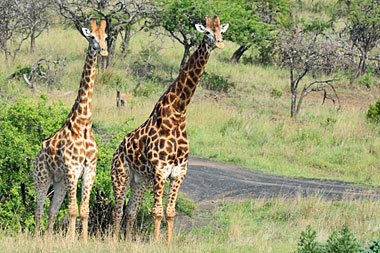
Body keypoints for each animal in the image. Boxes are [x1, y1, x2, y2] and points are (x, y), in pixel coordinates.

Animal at [32, 18, 107, 241]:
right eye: (92, 36)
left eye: (106, 36)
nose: (103, 50)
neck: (83, 124)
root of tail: (38, 154)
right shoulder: (73, 169)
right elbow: (73, 210)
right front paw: (72, 240)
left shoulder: (90, 169)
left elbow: (84, 210)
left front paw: (83, 241)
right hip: (42, 177)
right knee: (38, 210)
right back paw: (37, 238)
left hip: (60, 182)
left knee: (52, 210)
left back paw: (48, 239)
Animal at [110, 14, 229, 244]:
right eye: (207, 32)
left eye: (221, 31)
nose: (219, 43)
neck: (178, 115)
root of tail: (117, 150)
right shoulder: (160, 171)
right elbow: (157, 211)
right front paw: (157, 243)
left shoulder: (179, 172)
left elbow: (170, 211)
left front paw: (169, 242)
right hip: (120, 176)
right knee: (117, 211)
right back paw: (112, 241)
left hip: (140, 180)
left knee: (131, 211)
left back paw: (127, 242)